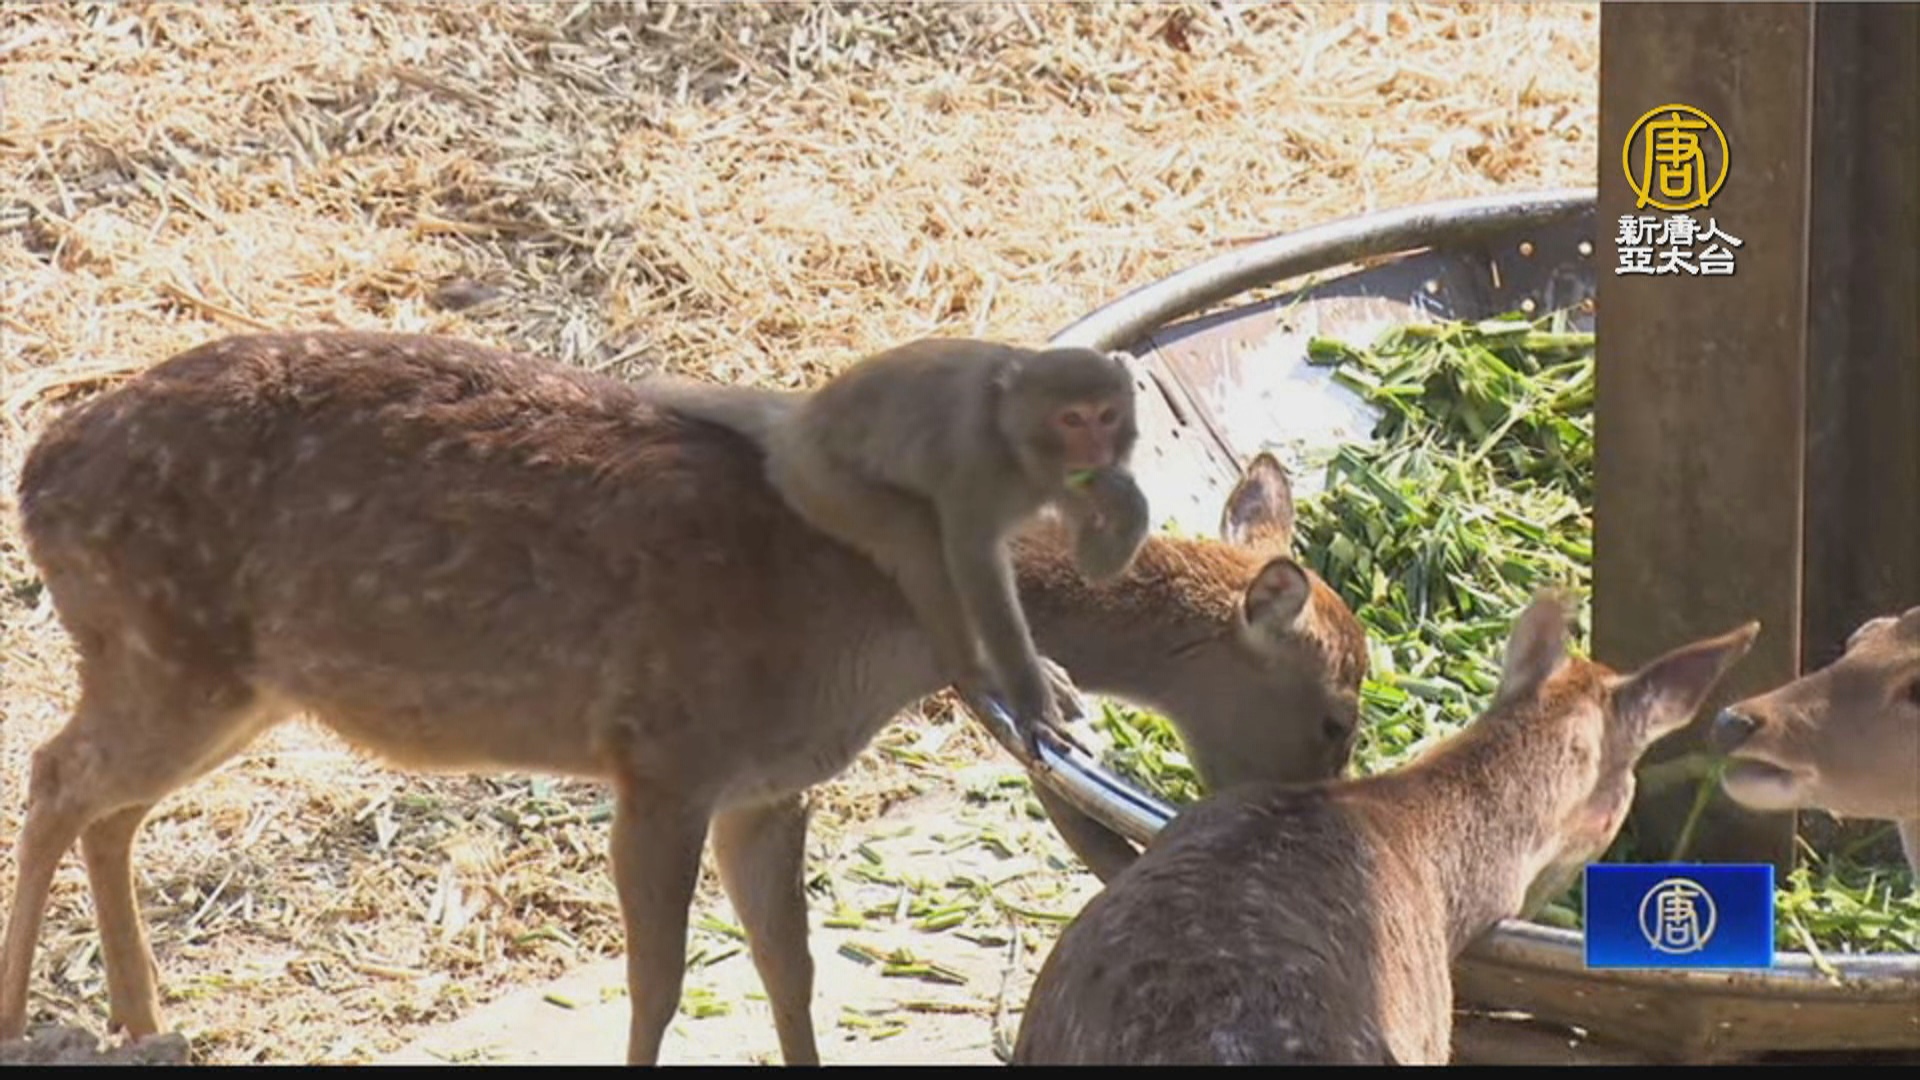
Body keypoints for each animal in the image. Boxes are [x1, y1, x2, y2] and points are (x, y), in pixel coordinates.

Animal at [2, 330, 1367, 1065]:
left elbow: (789, 966)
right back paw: (33, 1014)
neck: (864, 631)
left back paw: (141, 1014)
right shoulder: (661, 752)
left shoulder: (767, 788)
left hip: (230, 681)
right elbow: (659, 979)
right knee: (56, 773)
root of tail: (39, 475)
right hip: (167, 648)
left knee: (106, 801)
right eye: (1338, 713)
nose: (1318, 824)